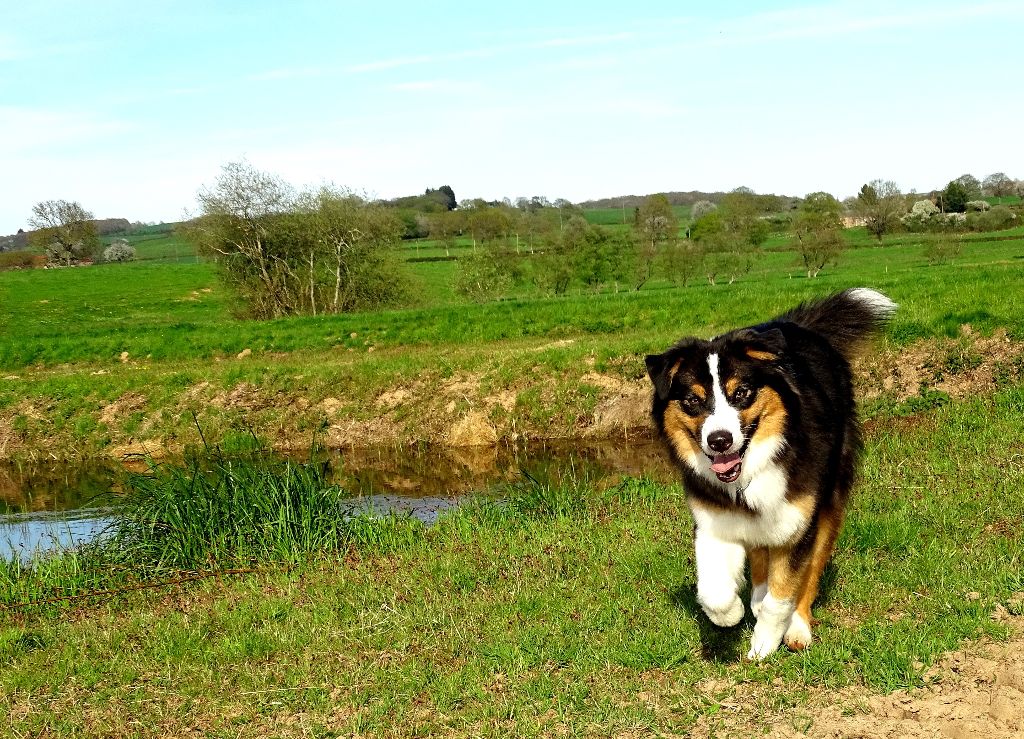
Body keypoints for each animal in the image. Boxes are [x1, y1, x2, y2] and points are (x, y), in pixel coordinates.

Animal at [647, 286, 897, 655]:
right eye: (692, 401)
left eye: (742, 393)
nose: (719, 441)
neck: (758, 463)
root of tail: (798, 326)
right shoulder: (714, 520)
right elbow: (714, 591)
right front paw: (730, 615)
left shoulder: (799, 521)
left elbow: (783, 595)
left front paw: (764, 643)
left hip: (831, 497)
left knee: (811, 567)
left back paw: (798, 626)